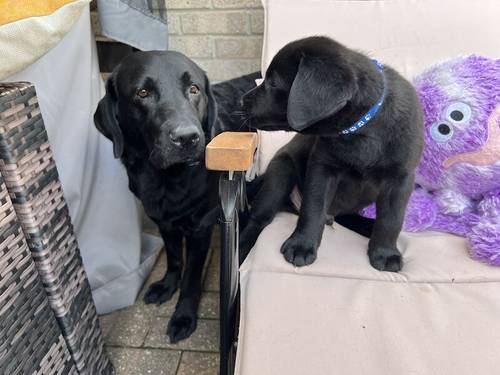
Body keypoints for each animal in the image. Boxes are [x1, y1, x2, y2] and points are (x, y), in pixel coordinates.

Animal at [93, 50, 262, 344]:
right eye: (143, 93)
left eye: (194, 89)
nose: (187, 138)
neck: (165, 179)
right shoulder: (163, 220)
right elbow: (173, 257)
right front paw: (167, 285)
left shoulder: (200, 227)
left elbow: (191, 278)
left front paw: (183, 316)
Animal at [238, 36, 422, 274]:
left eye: (273, 83)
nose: (241, 101)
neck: (361, 130)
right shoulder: (322, 167)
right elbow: (313, 208)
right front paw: (302, 246)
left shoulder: (401, 178)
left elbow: (391, 218)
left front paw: (385, 253)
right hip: (280, 172)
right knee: (259, 218)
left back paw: (367, 226)